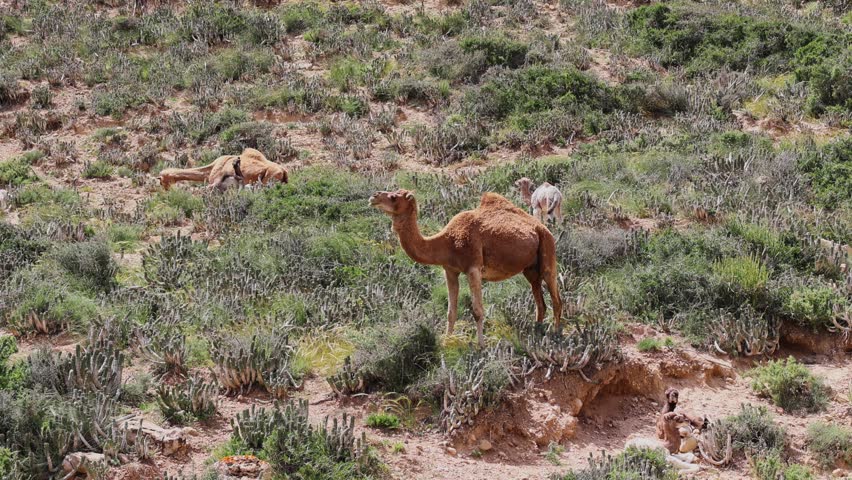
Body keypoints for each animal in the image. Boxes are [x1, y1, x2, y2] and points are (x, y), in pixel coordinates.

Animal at [370, 189, 562, 347]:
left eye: (394, 197)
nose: (373, 197)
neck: (447, 241)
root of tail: (542, 228)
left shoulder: (473, 268)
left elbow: (477, 311)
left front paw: (481, 346)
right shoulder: (450, 270)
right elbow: (451, 312)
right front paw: (446, 342)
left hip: (548, 250)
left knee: (556, 297)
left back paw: (555, 333)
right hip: (530, 269)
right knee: (540, 301)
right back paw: (537, 332)